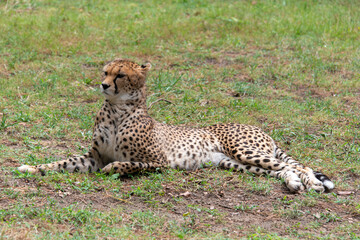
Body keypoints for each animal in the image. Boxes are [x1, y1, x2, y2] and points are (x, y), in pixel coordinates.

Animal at [19, 58, 334, 193]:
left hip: (244, 151)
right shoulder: (93, 158)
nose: (104, 85)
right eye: (105, 72)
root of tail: (260, 129)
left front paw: (115, 169)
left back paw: (312, 183)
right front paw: (32, 168)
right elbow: (61, 162)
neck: (117, 109)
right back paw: (293, 183)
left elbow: (129, 163)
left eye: (120, 75)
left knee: (300, 166)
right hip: (233, 162)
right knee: (282, 170)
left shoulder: (160, 161)